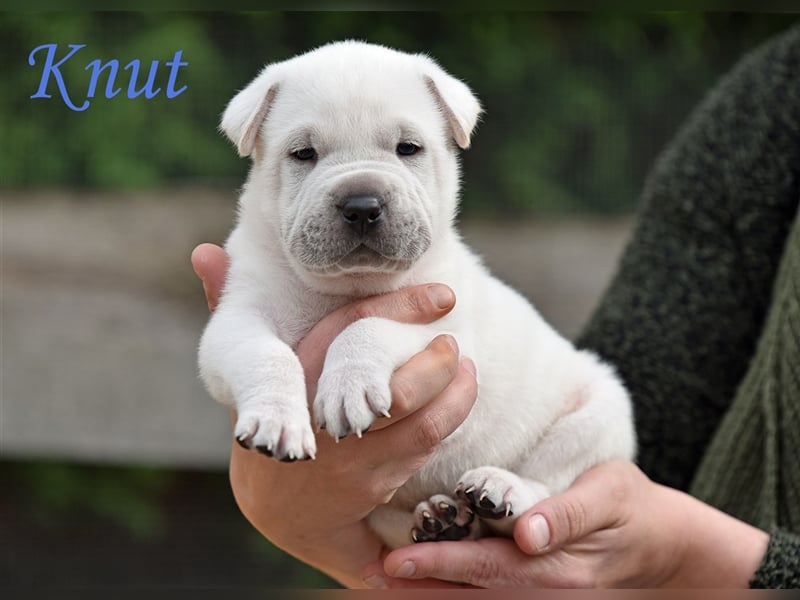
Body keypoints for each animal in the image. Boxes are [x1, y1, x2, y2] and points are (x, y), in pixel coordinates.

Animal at [197, 41, 636, 548]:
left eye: (408, 148)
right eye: (303, 154)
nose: (361, 205)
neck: (350, 285)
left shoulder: (446, 330)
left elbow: (370, 325)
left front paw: (348, 385)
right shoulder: (238, 318)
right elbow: (265, 354)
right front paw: (278, 421)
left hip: (600, 414)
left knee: (547, 480)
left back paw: (499, 488)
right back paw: (442, 521)